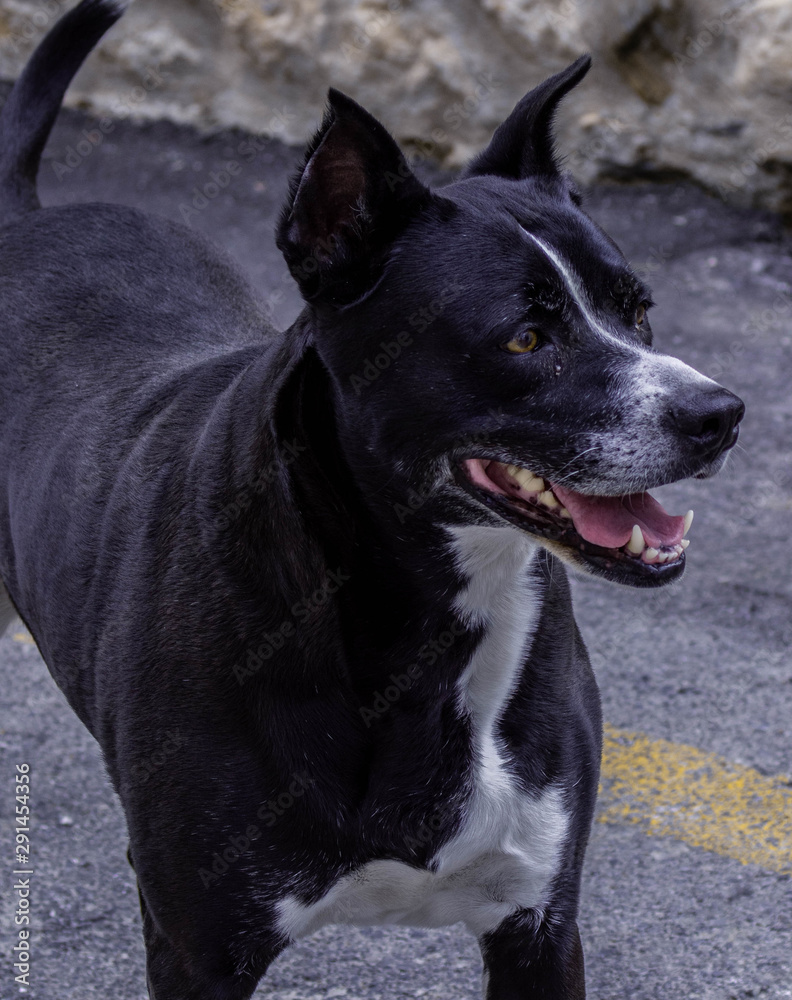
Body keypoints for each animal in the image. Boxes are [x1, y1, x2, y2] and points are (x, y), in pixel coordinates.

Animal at [0, 1, 744, 1000]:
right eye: (525, 337)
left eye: (638, 309)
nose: (720, 415)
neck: (417, 618)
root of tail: (26, 215)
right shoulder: (196, 948)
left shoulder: (541, 925)